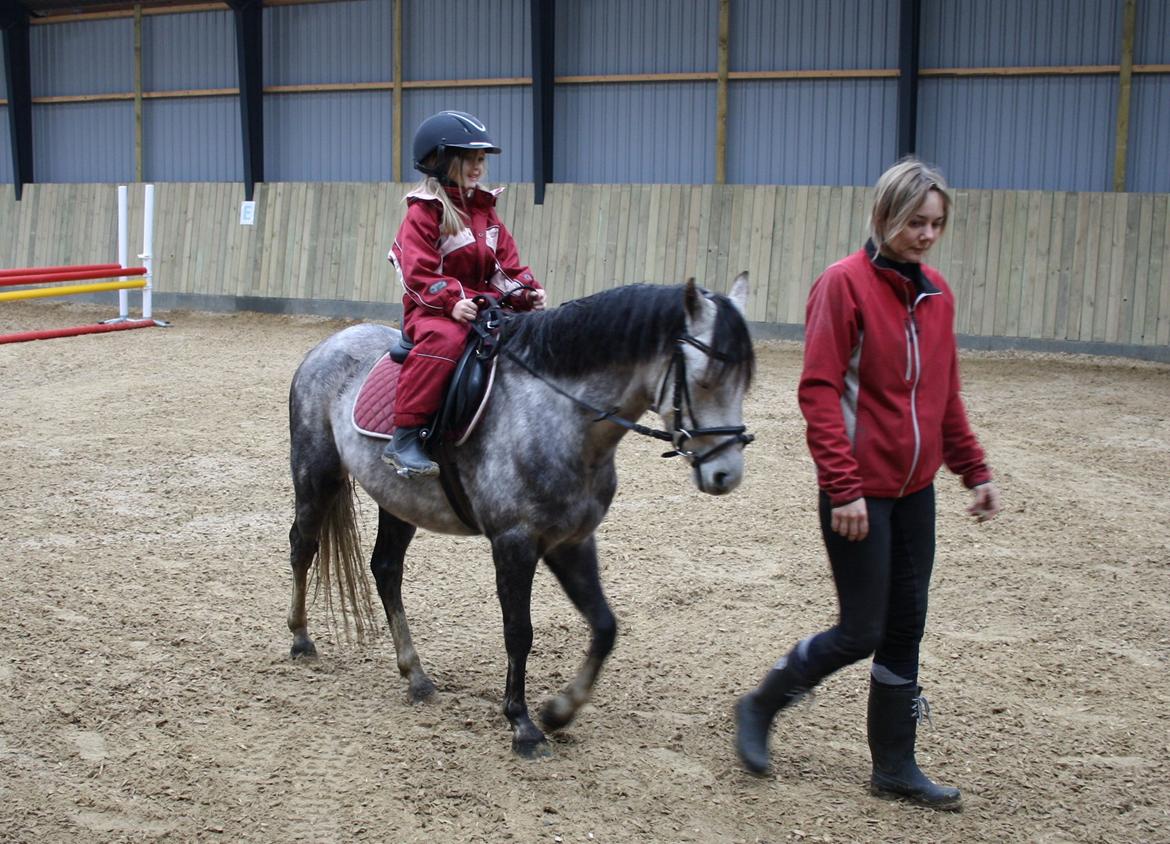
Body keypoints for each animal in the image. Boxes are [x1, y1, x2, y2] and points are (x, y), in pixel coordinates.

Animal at [286, 275, 755, 756]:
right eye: (705, 379)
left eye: (744, 381)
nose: (726, 473)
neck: (560, 416)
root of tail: (331, 343)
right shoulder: (514, 541)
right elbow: (519, 631)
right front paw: (523, 724)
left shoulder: (571, 541)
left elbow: (605, 626)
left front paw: (559, 711)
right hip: (316, 472)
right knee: (304, 545)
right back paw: (301, 639)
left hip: (399, 500)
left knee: (385, 570)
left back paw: (415, 676)